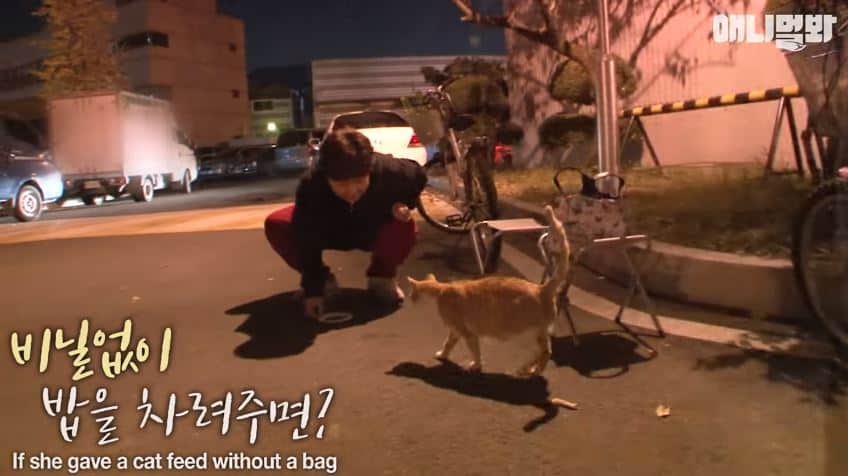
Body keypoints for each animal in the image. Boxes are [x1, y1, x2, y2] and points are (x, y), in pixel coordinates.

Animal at [407, 205, 570, 377]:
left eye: (412, 295)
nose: (408, 302)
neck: (441, 292)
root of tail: (541, 288)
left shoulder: (466, 332)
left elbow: (475, 352)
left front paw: (475, 365)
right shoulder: (455, 331)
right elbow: (448, 344)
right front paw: (443, 355)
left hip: (523, 333)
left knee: (542, 352)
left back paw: (528, 369)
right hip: (538, 334)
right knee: (544, 351)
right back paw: (531, 369)